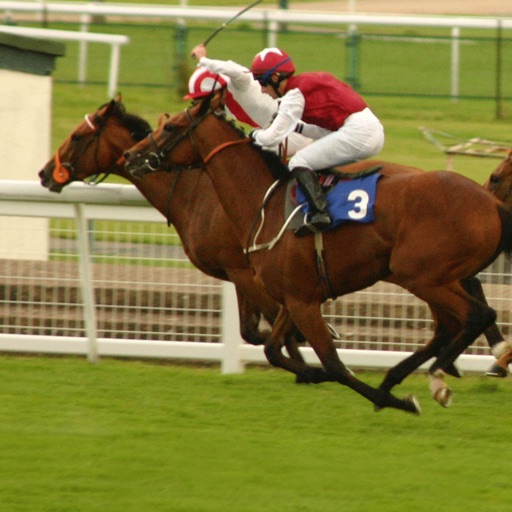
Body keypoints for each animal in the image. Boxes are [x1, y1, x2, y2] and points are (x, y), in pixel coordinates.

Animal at [37, 97, 308, 368]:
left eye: (77, 137)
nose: (44, 173)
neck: (198, 194)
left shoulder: (247, 273)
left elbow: (281, 330)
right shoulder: (239, 273)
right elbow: (253, 331)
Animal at [123, 97, 512, 416]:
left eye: (171, 127)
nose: (130, 156)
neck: (264, 205)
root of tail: (492, 202)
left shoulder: (303, 302)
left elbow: (335, 364)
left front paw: (391, 400)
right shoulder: (293, 296)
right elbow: (274, 349)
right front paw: (314, 374)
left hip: (422, 275)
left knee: (476, 315)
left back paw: (437, 378)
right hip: (428, 277)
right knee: (451, 324)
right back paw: (399, 376)